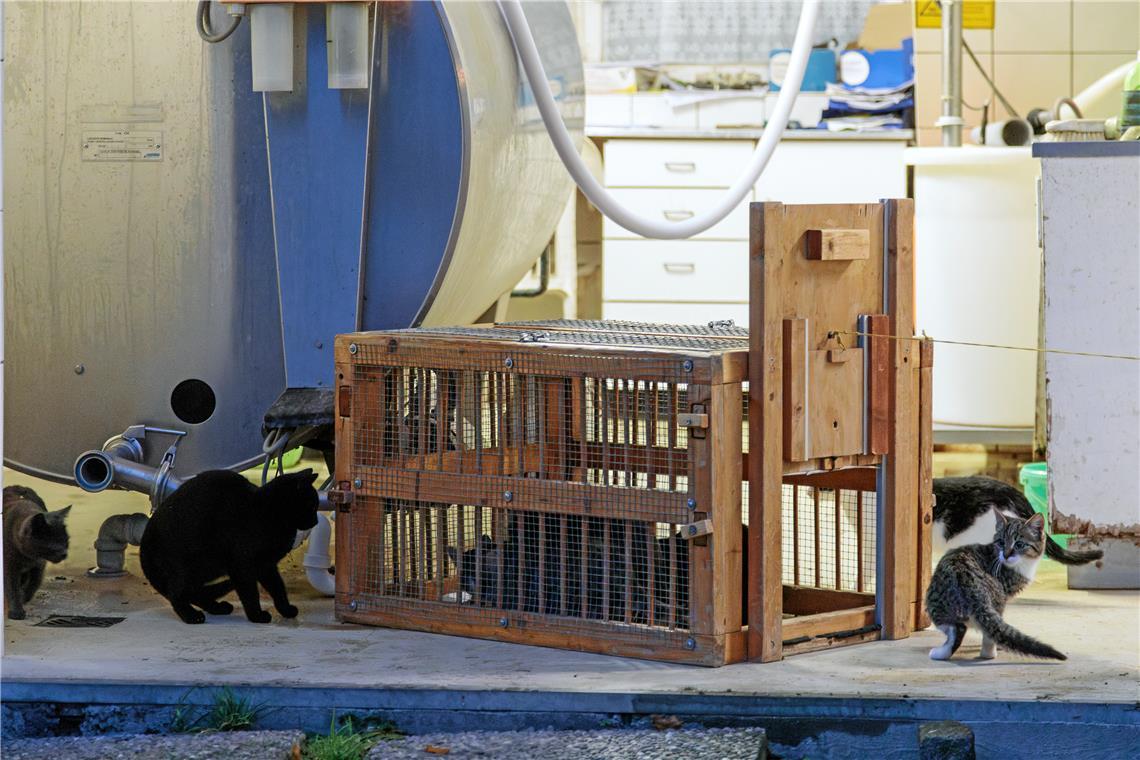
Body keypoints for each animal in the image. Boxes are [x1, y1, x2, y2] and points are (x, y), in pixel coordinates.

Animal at [3, 485, 70, 619]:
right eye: (53, 544)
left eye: (66, 541)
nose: (64, 553)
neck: (28, 557)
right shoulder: (8, 564)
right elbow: (12, 587)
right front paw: (16, 612)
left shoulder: (40, 564)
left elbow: (34, 583)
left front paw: (25, 597)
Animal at [143, 469, 321, 624]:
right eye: (312, 505)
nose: (316, 521)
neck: (267, 512)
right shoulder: (242, 564)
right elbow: (250, 593)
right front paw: (257, 616)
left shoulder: (266, 565)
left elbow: (278, 588)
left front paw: (285, 610)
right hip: (189, 565)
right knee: (176, 592)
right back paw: (191, 616)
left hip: (208, 568)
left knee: (194, 592)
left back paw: (217, 608)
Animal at [921, 508, 1062, 660]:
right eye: (1001, 542)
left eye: (1019, 544)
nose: (1006, 555)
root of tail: (972, 590)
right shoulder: (1005, 593)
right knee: (967, 629)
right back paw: (987, 653)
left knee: (958, 627)